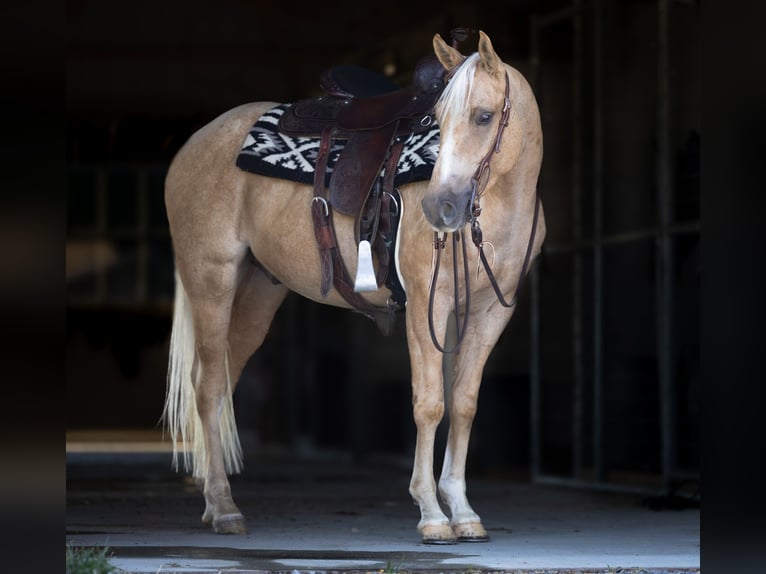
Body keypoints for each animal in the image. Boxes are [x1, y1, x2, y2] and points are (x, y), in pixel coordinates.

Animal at [162, 30, 545, 544]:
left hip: (258, 293)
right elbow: (429, 404)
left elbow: (463, 404)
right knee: (205, 388)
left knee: (222, 382)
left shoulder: (490, 312)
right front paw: (430, 513)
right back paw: (223, 508)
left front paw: (463, 512)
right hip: (211, 281)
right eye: (437, 121)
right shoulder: (426, 303)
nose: (440, 208)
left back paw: (213, 502)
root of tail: (192, 145)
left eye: (484, 116)